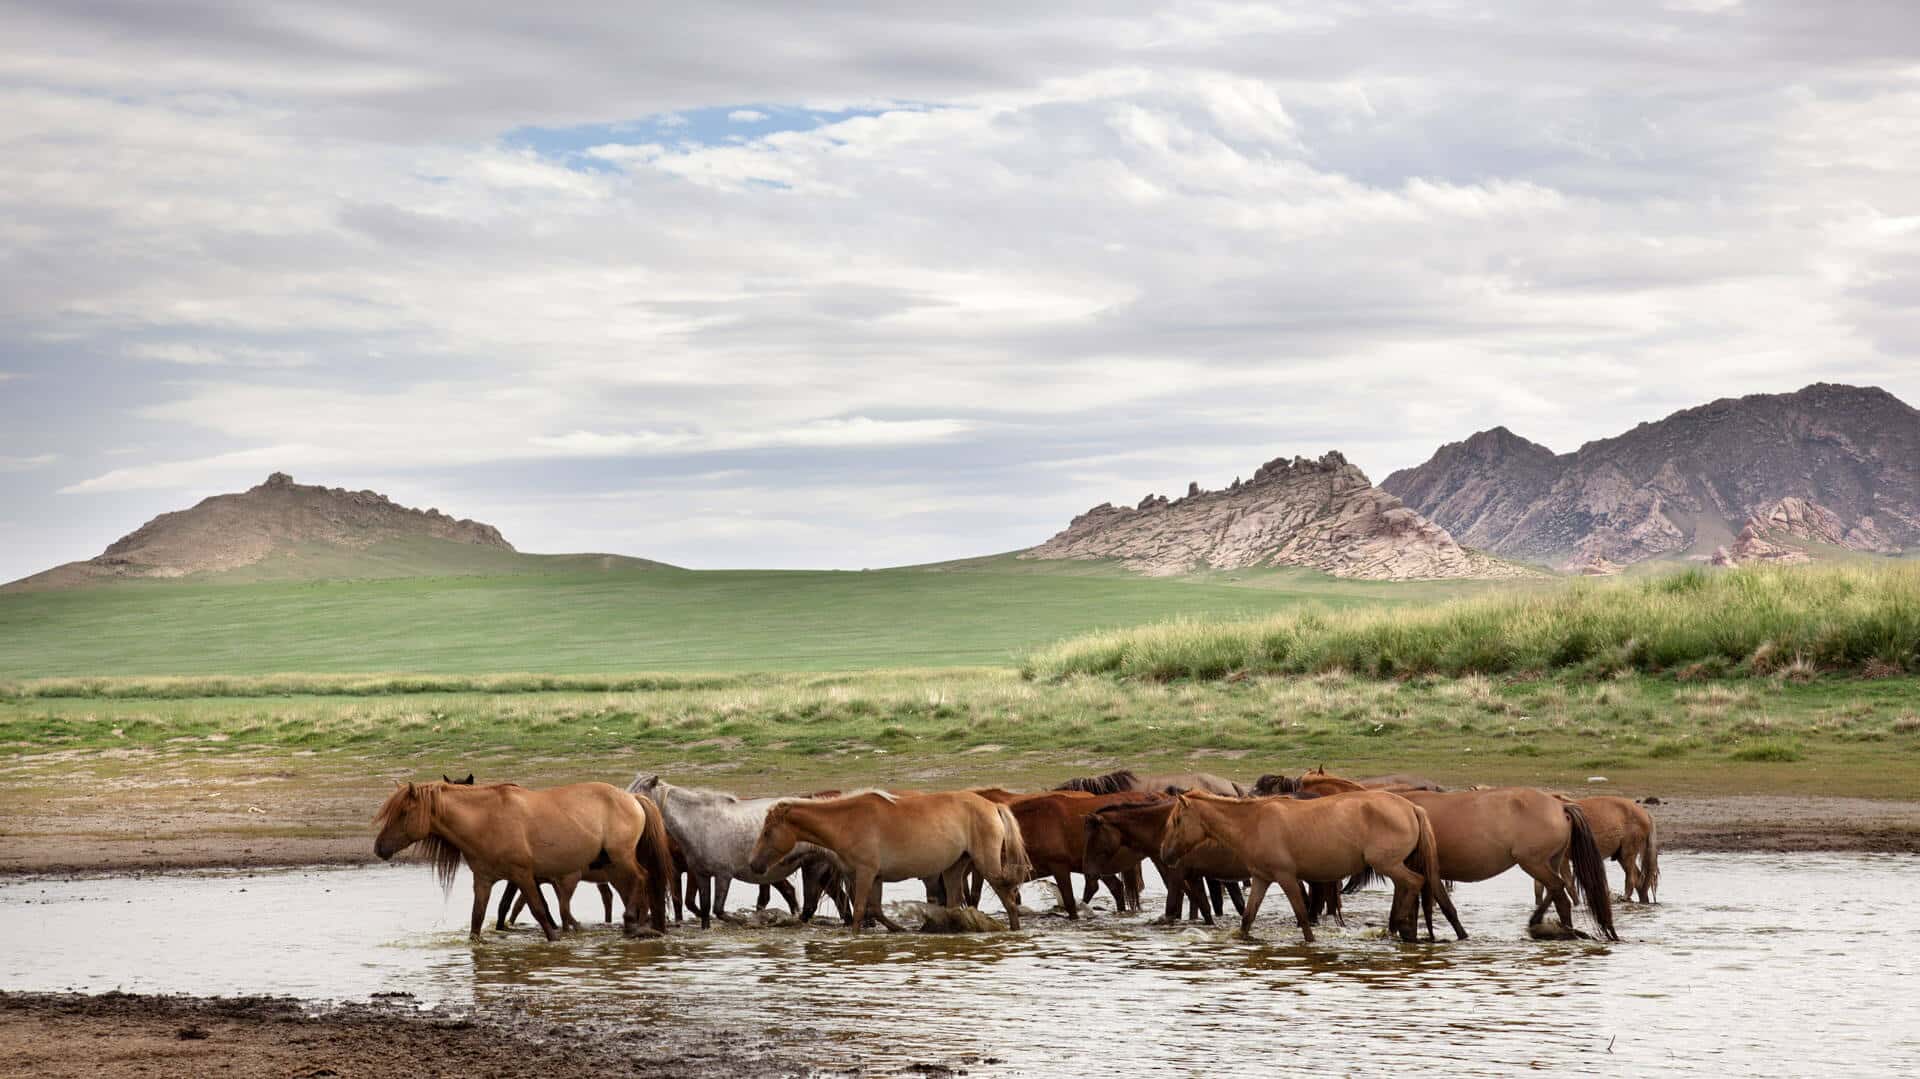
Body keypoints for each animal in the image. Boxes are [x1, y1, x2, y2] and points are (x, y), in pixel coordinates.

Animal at [372, 779, 670, 940]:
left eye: (403, 813)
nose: (379, 848)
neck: (486, 821)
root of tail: (632, 797)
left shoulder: (523, 875)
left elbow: (540, 911)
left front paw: (555, 938)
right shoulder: (484, 880)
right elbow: (477, 918)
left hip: (621, 858)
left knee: (641, 877)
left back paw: (632, 921)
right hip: (612, 865)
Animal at [628, 775, 827, 929]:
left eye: (638, 795)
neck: (700, 824)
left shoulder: (723, 874)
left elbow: (718, 909)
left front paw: (742, 921)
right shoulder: (701, 874)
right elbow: (705, 907)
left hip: (813, 865)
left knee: (808, 903)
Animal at [749, 791, 1032, 932]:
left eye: (767, 832)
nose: (754, 864)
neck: (846, 821)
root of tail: (992, 805)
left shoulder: (865, 873)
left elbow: (860, 910)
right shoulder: (875, 877)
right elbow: (875, 910)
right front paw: (899, 931)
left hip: (986, 865)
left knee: (1008, 900)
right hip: (955, 867)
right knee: (954, 907)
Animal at [1160, 790, 1465, 943]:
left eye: (1177, 820)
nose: (1165, 854)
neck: (1253, 822)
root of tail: (1412, 807)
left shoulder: (1286, 877)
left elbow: (1303, 916)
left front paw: (1310, 942)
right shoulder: (1261, 878)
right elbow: (1247, 918)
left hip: (1387, 864)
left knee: (1413, 883)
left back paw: (1401, 926)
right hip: (1394, 864)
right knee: (1413, 886)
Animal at [1398, 788, 1618, 941]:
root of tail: (1559, 806)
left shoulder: (1430, 871)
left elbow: (1444, 906)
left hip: (1533, 863)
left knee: (1559, 892)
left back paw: (1558, 929)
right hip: (1549, 862)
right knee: (1556, 890)